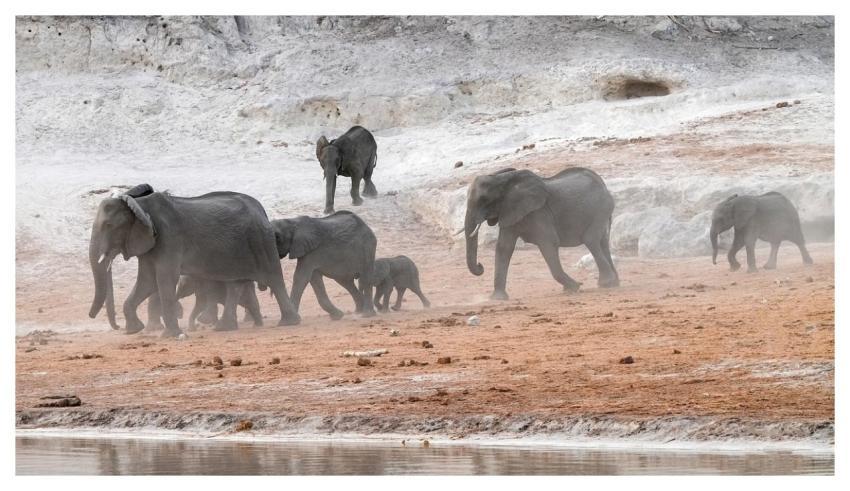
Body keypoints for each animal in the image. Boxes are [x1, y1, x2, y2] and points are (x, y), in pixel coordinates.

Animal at [88, 184, 300, 337]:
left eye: (109, 225)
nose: (117, 327)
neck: (139, 203)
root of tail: (261, 209)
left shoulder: (169, 238)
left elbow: (164, 279)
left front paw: (170, 336)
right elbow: (146, 281)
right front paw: (134, 330)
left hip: (261, 241)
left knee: (274, 278)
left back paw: (289, 322)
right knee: (235, 284)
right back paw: (224, 328)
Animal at [464, 167, 619, 300]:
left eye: (484, 199)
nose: (480, 265)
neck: (504, 180)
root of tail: (603, 185)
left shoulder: (539, 212)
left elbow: (549, 244)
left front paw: (575, 287)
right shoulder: (510, 211)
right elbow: (503, 248)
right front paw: (498, 298)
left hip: (601, 208)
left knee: (591, 239)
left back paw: (606, 284)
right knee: (602, 242)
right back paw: (614, 284)